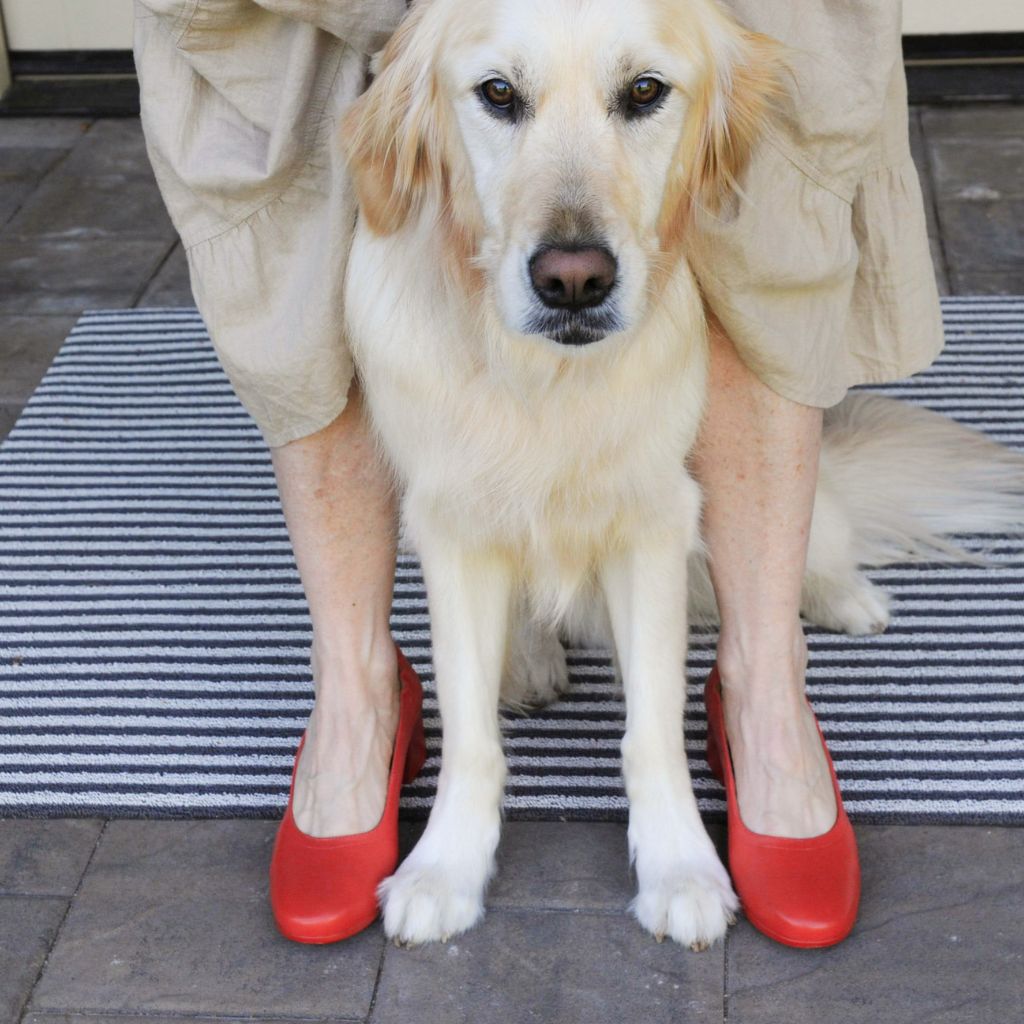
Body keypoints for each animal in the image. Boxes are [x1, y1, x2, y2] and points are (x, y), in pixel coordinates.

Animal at [342, 0, 1024, 946]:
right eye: (498, 94)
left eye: (644, 92)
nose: (574, 280)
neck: (548, 382)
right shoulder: (452, 529)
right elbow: (471, 732)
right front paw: (445, 868)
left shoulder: (652, 528)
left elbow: (652, 731)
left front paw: (680, 868)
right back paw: (530, 658)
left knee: (822, 537)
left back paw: (847, 598)